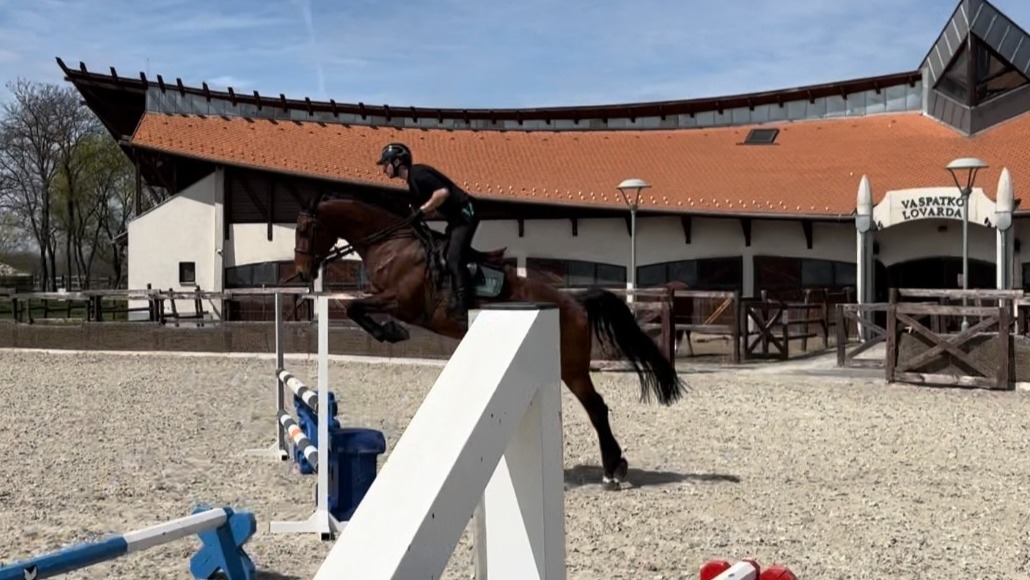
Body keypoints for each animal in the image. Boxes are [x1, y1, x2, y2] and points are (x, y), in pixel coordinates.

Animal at [291, 192, 687, 488]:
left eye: (305, 229)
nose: (302, 271)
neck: (392, 244)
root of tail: (575, 302)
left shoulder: (402, 301)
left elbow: (355, 307)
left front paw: (391, 332)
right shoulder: (386, 297)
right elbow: (355, 307)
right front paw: (388, 331)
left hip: (571, 367)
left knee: (597, 408)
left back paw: (613, 470)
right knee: (596, 408)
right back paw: (615, 466)